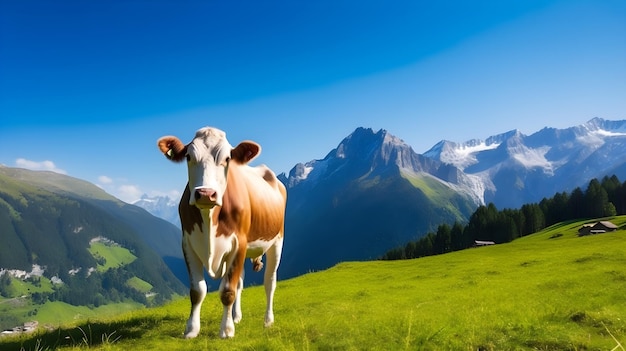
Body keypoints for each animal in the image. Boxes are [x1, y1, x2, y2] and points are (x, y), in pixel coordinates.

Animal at [156, 128, 286, 340]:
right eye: (188, 156)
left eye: (227, 158)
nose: (206, 194)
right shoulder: (188, 243)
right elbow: (197, 290)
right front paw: (191, 329)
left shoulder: (239, 243)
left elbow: (227, 291)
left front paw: (226, 330)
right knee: (240, 283)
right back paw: (237, 317)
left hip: (277, 241)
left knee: (269, 281)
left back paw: (268, 321)